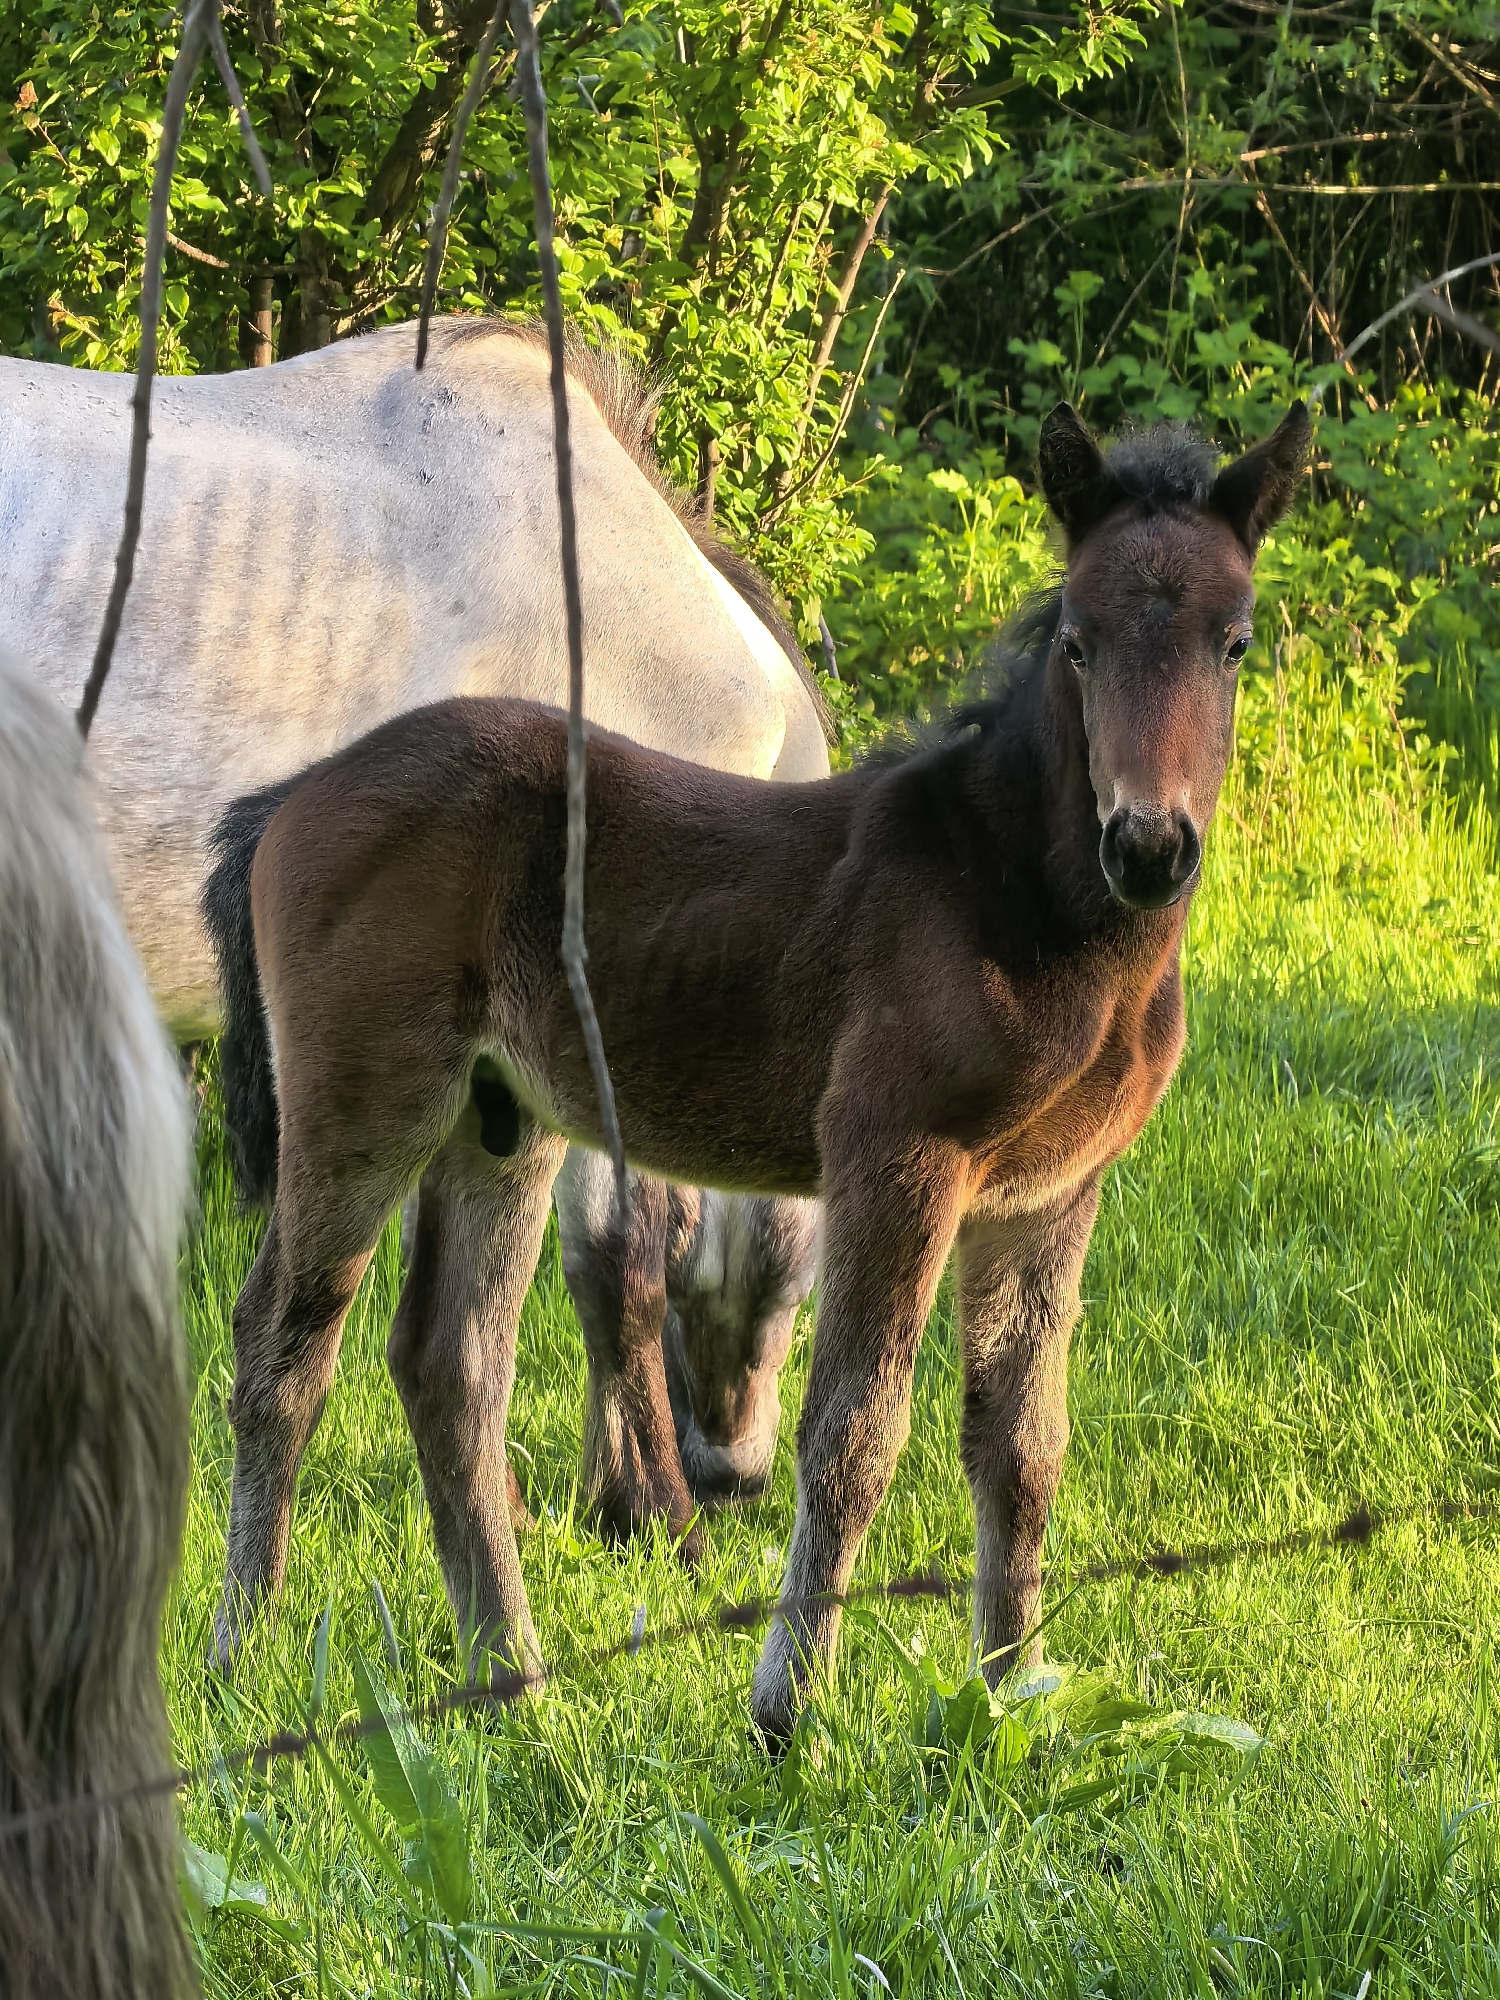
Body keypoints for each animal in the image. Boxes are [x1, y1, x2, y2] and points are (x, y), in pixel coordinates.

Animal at [201, 402, 1311, 1738]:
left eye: (1234, 641)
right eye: (1080, 642)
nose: (1148, 845)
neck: (1023, 906)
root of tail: (289, 796)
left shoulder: (1048, 1195)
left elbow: (1021, 1444)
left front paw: (1011, 1693)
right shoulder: (897, 1157)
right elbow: (855, 1432)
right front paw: (788, 1709)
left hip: (498, 1122)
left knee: (449, 1365)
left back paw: (515, 1678)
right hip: (362, 1102)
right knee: (281, 1346)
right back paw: (243, 1652)